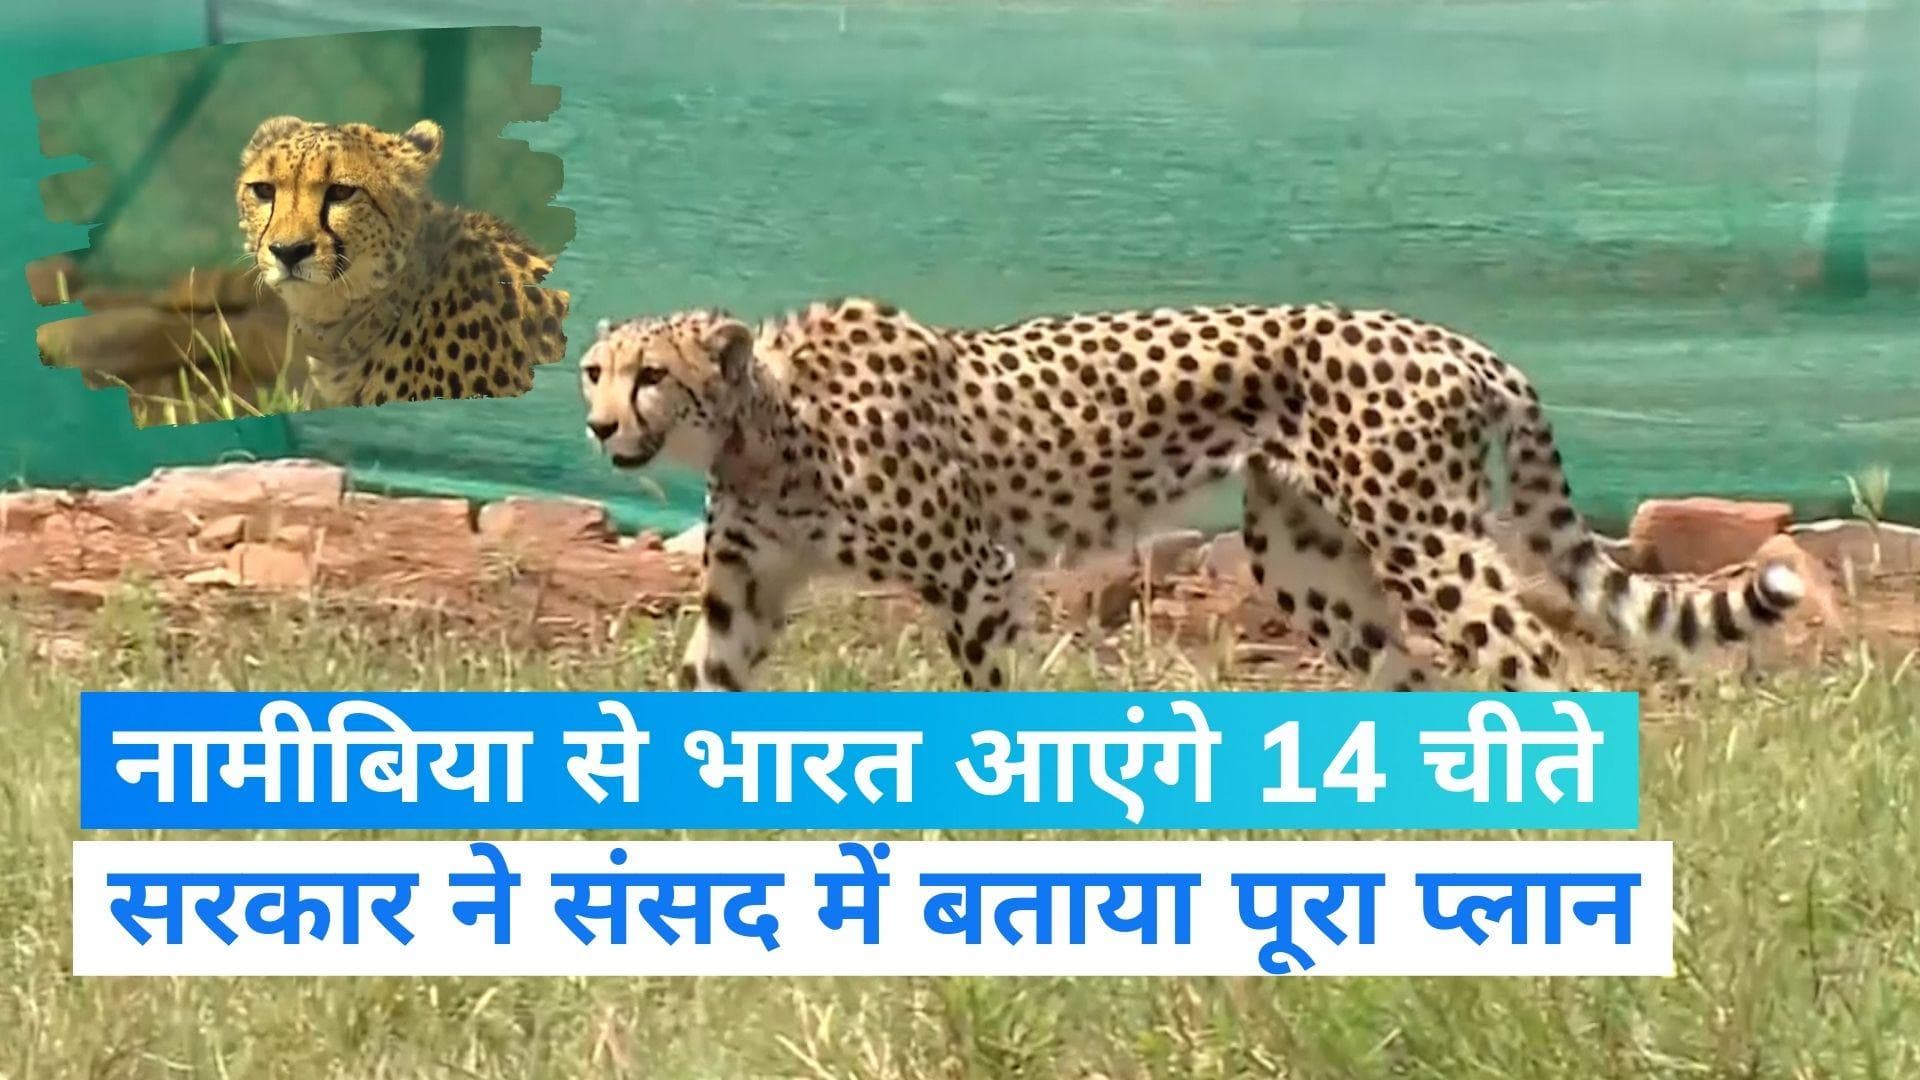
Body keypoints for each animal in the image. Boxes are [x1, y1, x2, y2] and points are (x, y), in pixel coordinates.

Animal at [577, 296, 1803, 692]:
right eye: (594, 371)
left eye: (654, 377)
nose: (596, 426)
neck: (762, 431)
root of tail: (1452, 338)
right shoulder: (745, 589)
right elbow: (700, 689)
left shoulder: (979, 573)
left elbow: (986, 693)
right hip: (1302, 560)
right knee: (1416, 676)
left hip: (1422, 534)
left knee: (1534, 658)